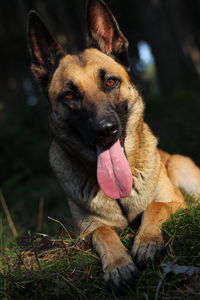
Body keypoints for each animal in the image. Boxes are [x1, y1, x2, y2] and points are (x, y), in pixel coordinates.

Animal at [27, 0, 200, 290]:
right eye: (69, 95)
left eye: (110, 81)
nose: (105, 130)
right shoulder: (87, 229)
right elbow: (104, 231)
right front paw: (118, 264)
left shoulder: (175, 203)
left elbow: (155, 206)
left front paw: (147, 242)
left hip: (180, 167)